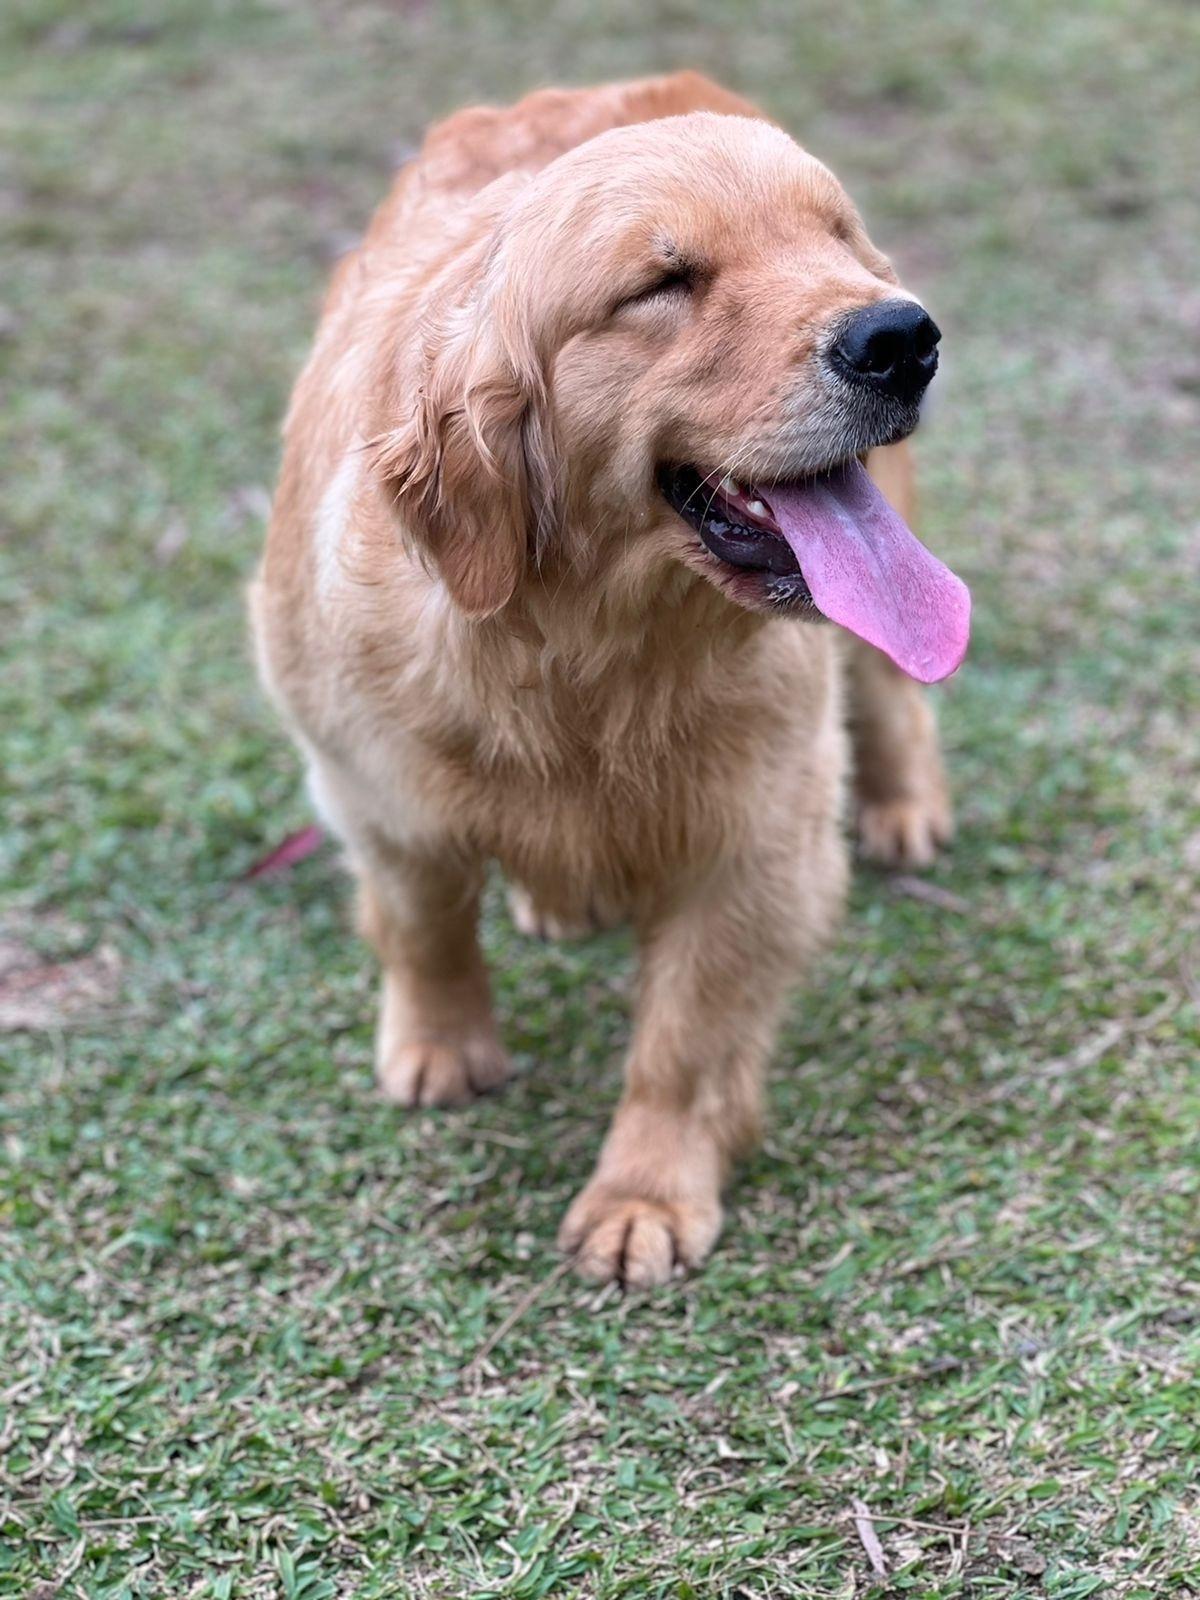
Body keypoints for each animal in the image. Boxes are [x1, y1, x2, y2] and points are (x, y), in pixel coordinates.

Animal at [251, 72, 966, 1286]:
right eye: (662, 283)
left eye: (834, 239)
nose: (899, 334)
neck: (587, 652)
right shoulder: (368, 785)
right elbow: (423, 921)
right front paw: (441, 1043)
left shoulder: (756, 841)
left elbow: (681, 1043)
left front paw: (645, 1193)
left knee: (892, 691)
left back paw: (905, 804)